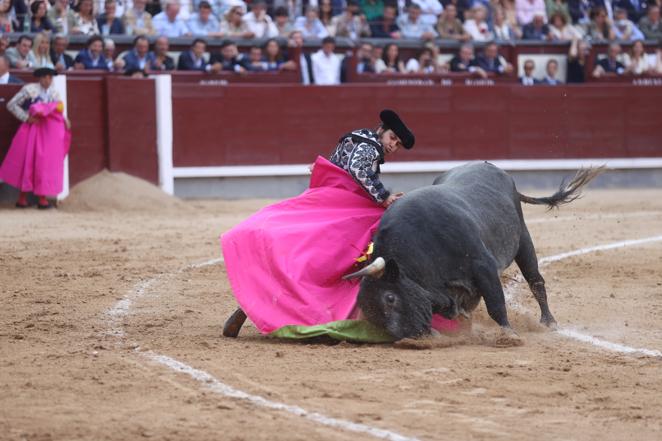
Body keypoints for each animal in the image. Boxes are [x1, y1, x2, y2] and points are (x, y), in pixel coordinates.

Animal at [344, 162, 604, 340]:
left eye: (390, 298)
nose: (410, 337)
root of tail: (495, 168)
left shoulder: (483, 266)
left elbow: (496, 304)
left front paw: (509, 335)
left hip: (523, 239)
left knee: (536, 281)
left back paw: (548, 322)